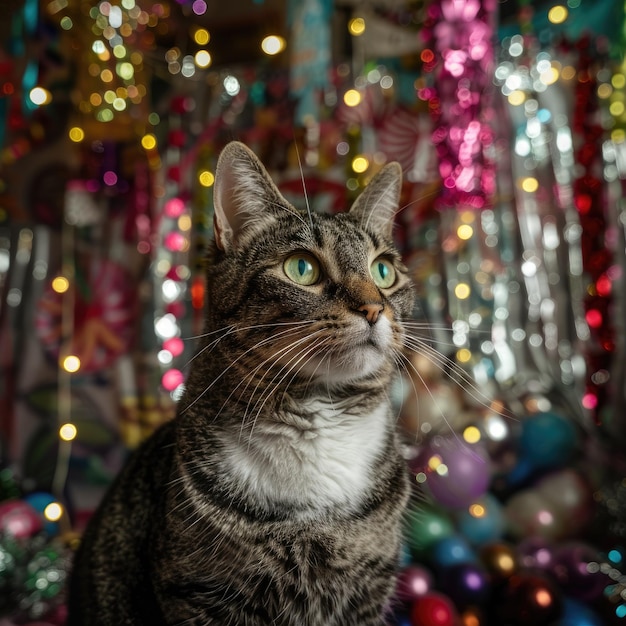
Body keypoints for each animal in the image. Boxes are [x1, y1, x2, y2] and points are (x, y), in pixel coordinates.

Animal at [67, 141, 414, 624]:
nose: (374, 308)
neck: (318, 420)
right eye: (302, 268)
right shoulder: (202, 594)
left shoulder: (368, 595)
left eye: (384, 271)